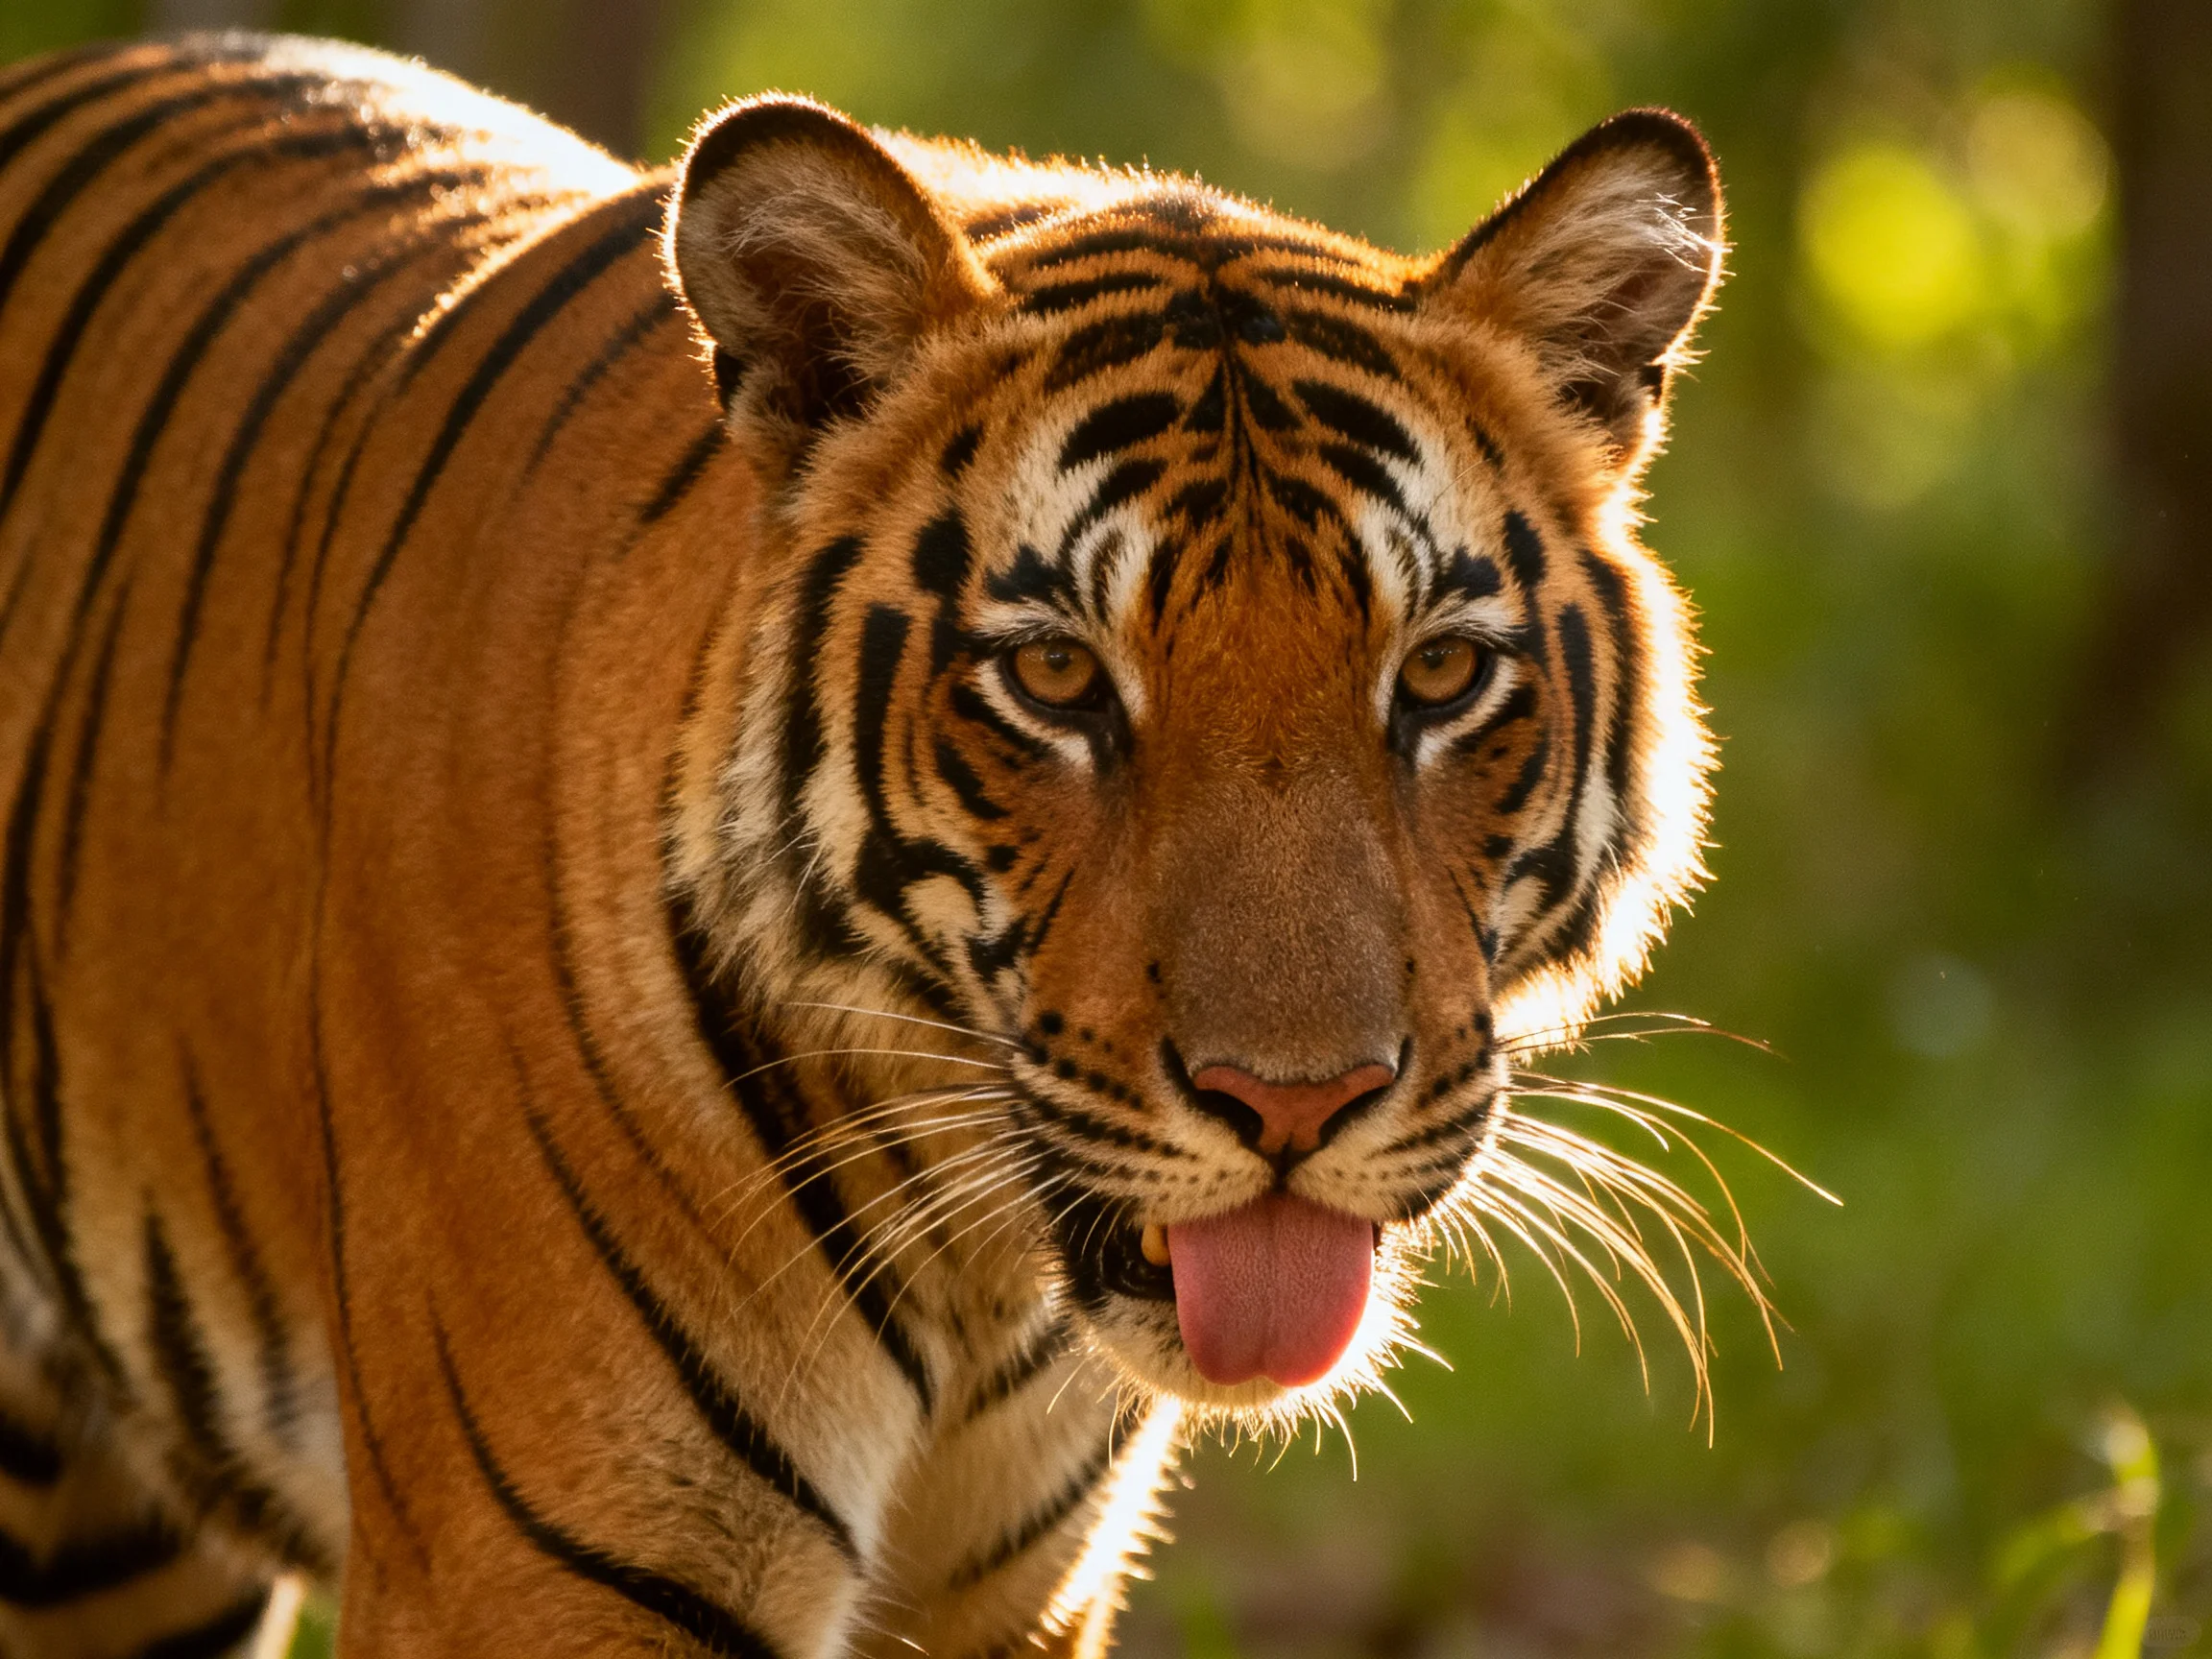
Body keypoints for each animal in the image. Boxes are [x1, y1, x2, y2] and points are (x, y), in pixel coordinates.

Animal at [0, 28, 1731, 1659]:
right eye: (1056, 677)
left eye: (1436, 675)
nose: (1293, 1105)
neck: (978, 1279)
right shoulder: (537, 1579)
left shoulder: (1009, 1600)